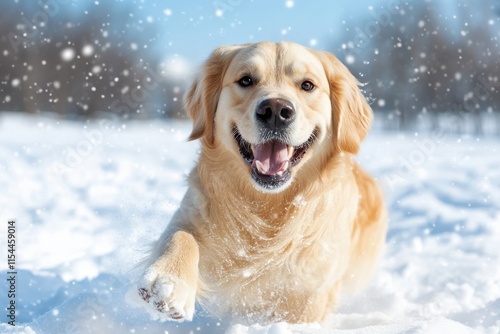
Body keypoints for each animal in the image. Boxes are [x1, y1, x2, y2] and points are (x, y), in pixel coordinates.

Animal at [136, 40, 386, 324]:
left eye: (307, 85)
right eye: (246, 80)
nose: (275, 110)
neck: (268, 205)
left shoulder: (309, 292)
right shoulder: (193, 209)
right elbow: (180, 236)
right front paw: (167, 281)